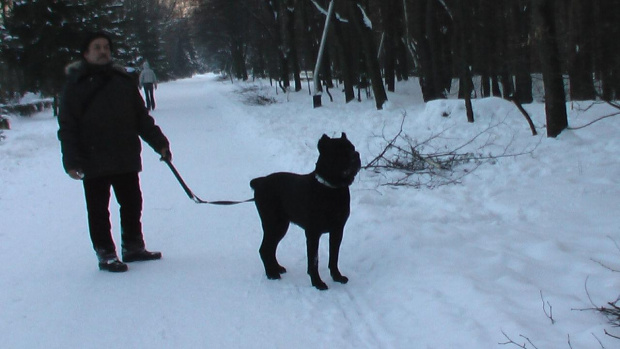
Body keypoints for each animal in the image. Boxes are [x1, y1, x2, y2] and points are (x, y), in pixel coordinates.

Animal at [249, 132, 360, 290]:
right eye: (339, 151)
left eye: (352, 147)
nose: (356, 154)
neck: (331, 190)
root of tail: (259, 182)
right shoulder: (313, 233)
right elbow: (314, 261)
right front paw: (318, 283)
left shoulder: (337, 230)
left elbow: (334, 257)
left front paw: (337, 277)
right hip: (273, 224)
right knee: (264, 249)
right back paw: (271, 274)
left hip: (281, 225)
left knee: (270, 248)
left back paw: (277, 268)